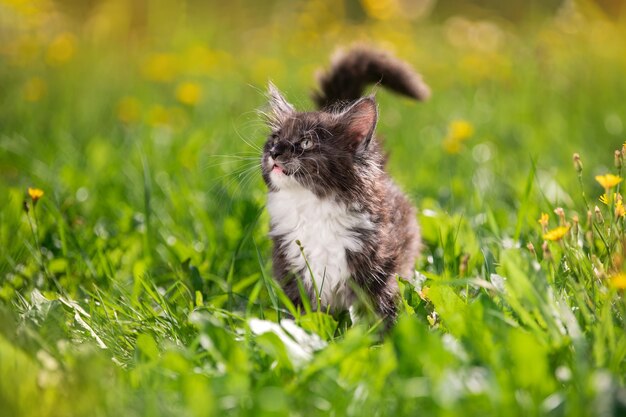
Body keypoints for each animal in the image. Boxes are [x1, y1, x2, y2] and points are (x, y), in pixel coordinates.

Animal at [258, 47, 428, 324]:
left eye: (305, 143)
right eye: (274, 139)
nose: (274, 152)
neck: (314, 207)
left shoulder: (380, 272)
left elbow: (383, 316)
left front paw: (386, 335)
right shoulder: (292, 270)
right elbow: (301, 318)